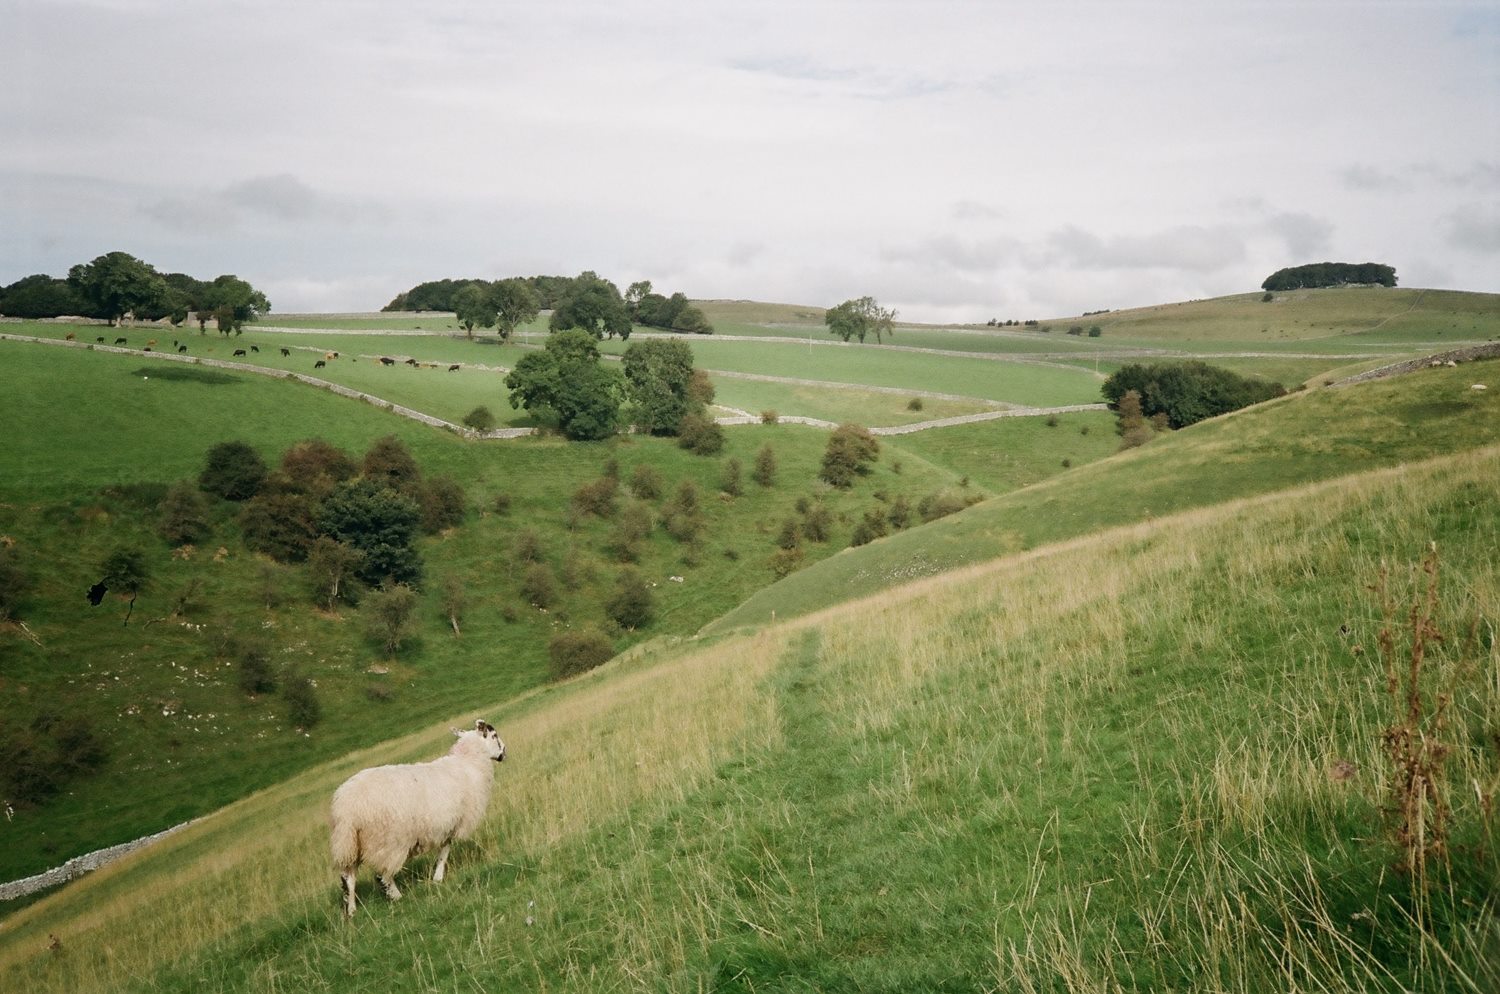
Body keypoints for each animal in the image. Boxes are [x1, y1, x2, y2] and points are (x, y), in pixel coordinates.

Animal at [331, 716, 507, 917]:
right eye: (494, 735)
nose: (504, 752)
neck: (467, 763)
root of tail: (345, 808)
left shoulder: (445, 824)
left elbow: (444, 849)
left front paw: (437, 877)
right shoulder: (450, 823)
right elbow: (445, 851)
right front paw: (438, 877)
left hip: (351, 844)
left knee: (348, 877)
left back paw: (351, 910)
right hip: (387, 840)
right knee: (382, 874)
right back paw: (396, 896)